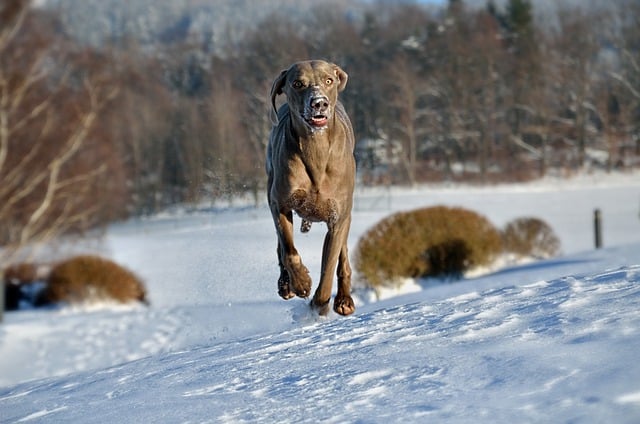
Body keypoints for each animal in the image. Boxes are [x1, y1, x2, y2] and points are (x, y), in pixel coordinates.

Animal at [264, 59, 356, 314]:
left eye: (328, 80)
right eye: (298, 83)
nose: (319, 103)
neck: (316, 148)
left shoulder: (338, 218)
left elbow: (329, 265)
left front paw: (319, 304)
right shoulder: (279, 203)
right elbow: (289, 251)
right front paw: (302, 282)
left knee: (343, 258)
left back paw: (344, 300)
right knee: (281, 248)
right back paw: (286, 284)